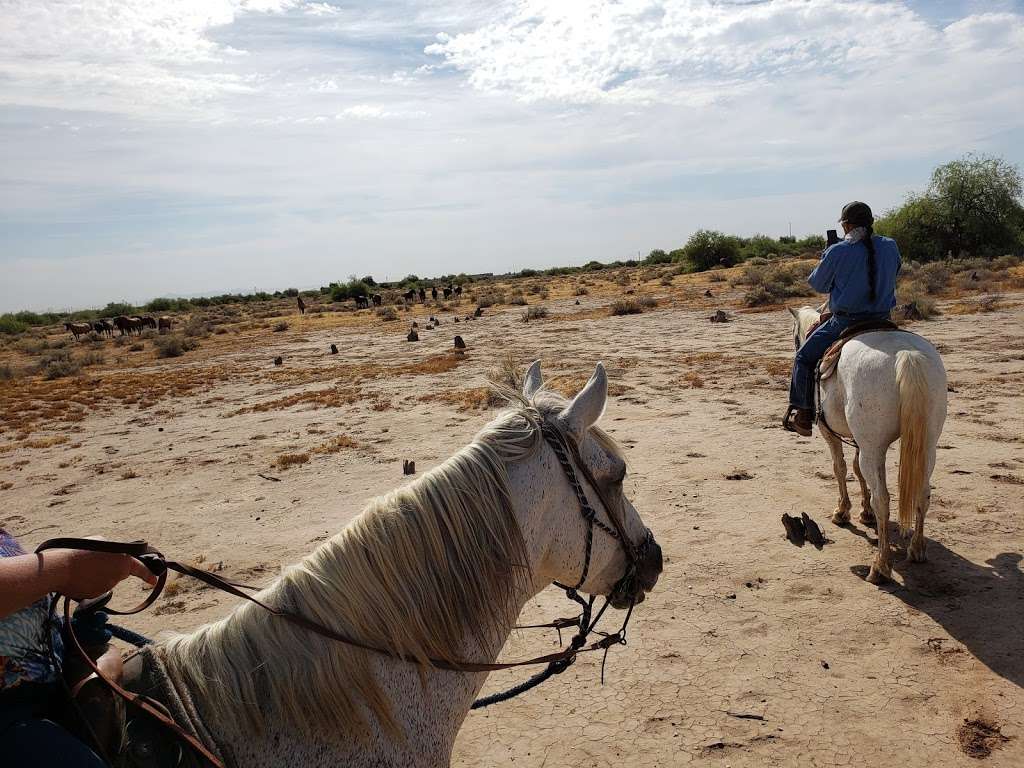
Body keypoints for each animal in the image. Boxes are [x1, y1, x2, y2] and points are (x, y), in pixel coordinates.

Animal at [786, 307, 946, 581]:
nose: (797, 345)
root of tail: (907, 355)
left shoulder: (830, 433)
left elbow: (840, 468)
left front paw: (843, 512)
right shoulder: (859, 440)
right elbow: (856, 470)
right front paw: (864, 513)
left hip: (873, 449)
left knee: (883, 499)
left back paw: (880, 566)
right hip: (927, 446)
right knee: (923, 494)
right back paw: (916, 549)